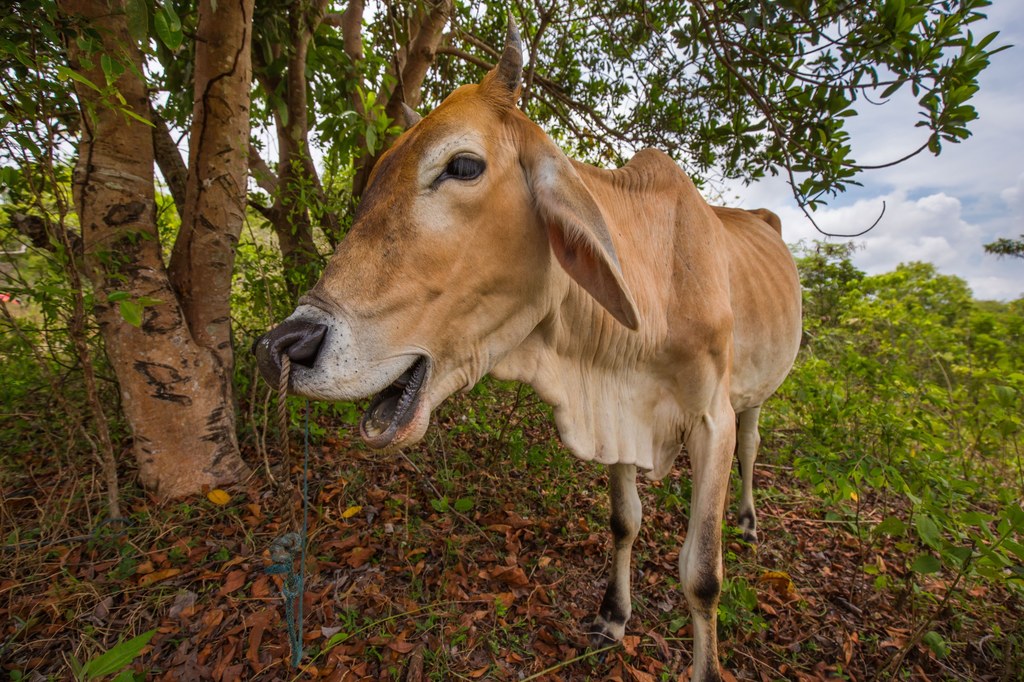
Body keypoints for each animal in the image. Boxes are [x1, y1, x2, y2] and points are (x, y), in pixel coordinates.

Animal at [253, 18, 798, 675]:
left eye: (463, 164)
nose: (283, 345)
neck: (657, 276)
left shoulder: (711, 420)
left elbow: (702, 576)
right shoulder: (618, 412)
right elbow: (625, 521)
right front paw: (613, 616)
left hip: (752, 396)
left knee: (752, 444)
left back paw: (747, 520)